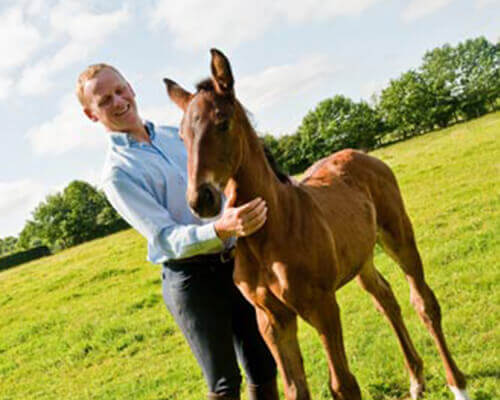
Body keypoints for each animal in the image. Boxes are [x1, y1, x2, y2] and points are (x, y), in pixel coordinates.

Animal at [163, 50, 468, 400]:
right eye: (182, 136)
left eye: (222, 123)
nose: (201, 199)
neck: (271, 231)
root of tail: (363, 155)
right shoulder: (271, 319)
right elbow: (295, 389)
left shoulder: (322, 307)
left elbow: (343, 384)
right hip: (361, 258)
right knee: (385, 299)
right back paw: (416, 380)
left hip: (399, 236)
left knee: (424, 303)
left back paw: (458, 385)